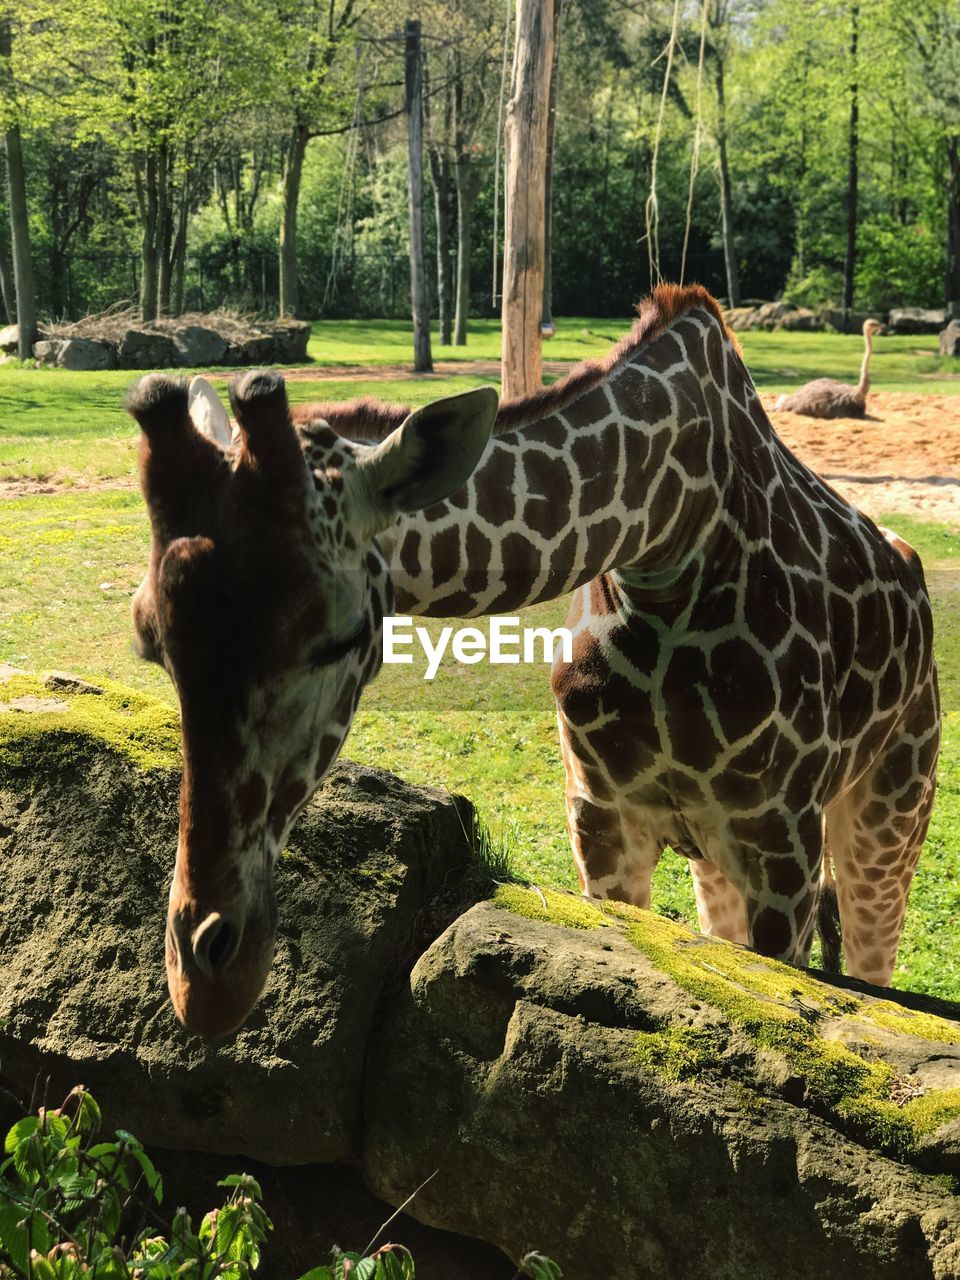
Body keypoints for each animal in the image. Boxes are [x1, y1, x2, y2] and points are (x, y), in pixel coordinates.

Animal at [126, 285, 942, 1034]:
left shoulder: (782, 842)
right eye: (149, 640)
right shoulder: (602, 818)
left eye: (345, 635)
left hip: (885, 821)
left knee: (871, 961)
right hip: (719, 861)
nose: (204, 980)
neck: (674, 536)